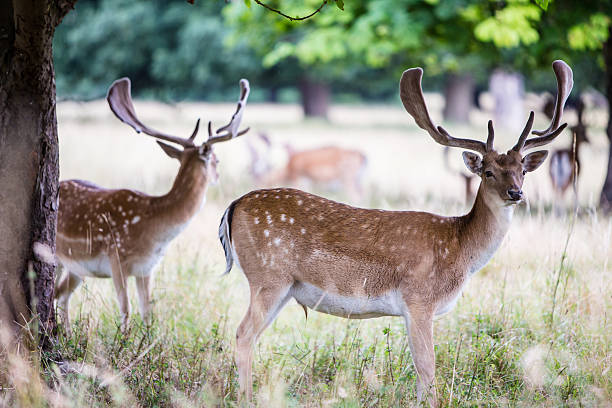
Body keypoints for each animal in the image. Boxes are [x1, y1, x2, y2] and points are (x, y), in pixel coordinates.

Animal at [55, 77, 251, 332]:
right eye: (217, 160)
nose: (218, 176)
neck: (154, 226)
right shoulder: (116, 257)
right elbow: (126, 309)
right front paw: (124, 339)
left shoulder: (146, 268)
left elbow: (148, 313)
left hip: (76, 267)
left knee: (60, 294)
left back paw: (66, 333)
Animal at [220, 59, 572, 404]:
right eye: (488, 172)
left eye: (522, 170)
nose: (516, 193)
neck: (460, 248)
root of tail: (233, 205)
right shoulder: (419, 300)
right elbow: (428, 372)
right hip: (268, 276)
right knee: (243, 334)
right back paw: (245, 397)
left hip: (283, 287)